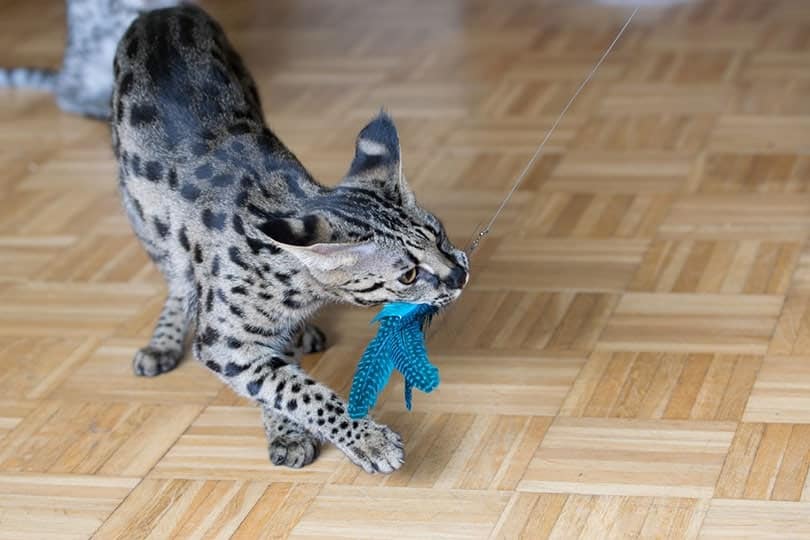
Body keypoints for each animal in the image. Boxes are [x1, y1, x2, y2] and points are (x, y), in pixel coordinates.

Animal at [111, 6, 470, 474]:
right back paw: (165, 339)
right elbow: (294, 390)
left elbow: (280, 376)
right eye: (408, 275)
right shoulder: (224, 342)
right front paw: (364, 438)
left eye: (439, 235)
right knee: (177, 275)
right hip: (142, 212)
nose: (461, 275)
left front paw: (291, 422)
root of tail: (162, 11)